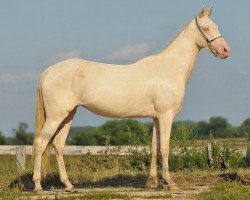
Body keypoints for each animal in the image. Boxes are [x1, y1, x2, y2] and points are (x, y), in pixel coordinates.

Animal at [32, 7, 230, 193]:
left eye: (216, 26)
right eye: (206, 28)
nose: (226, 51)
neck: (168, 69)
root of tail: (48, 72)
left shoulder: (156, 117)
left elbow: (154, 148)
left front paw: (151, 182)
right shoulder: (166, 115)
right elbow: (165, 148)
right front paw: (170, 182)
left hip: (68, 115)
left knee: (58, 145)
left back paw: (69, 186)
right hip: (56, 116)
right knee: (41, 144)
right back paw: (38, 186)